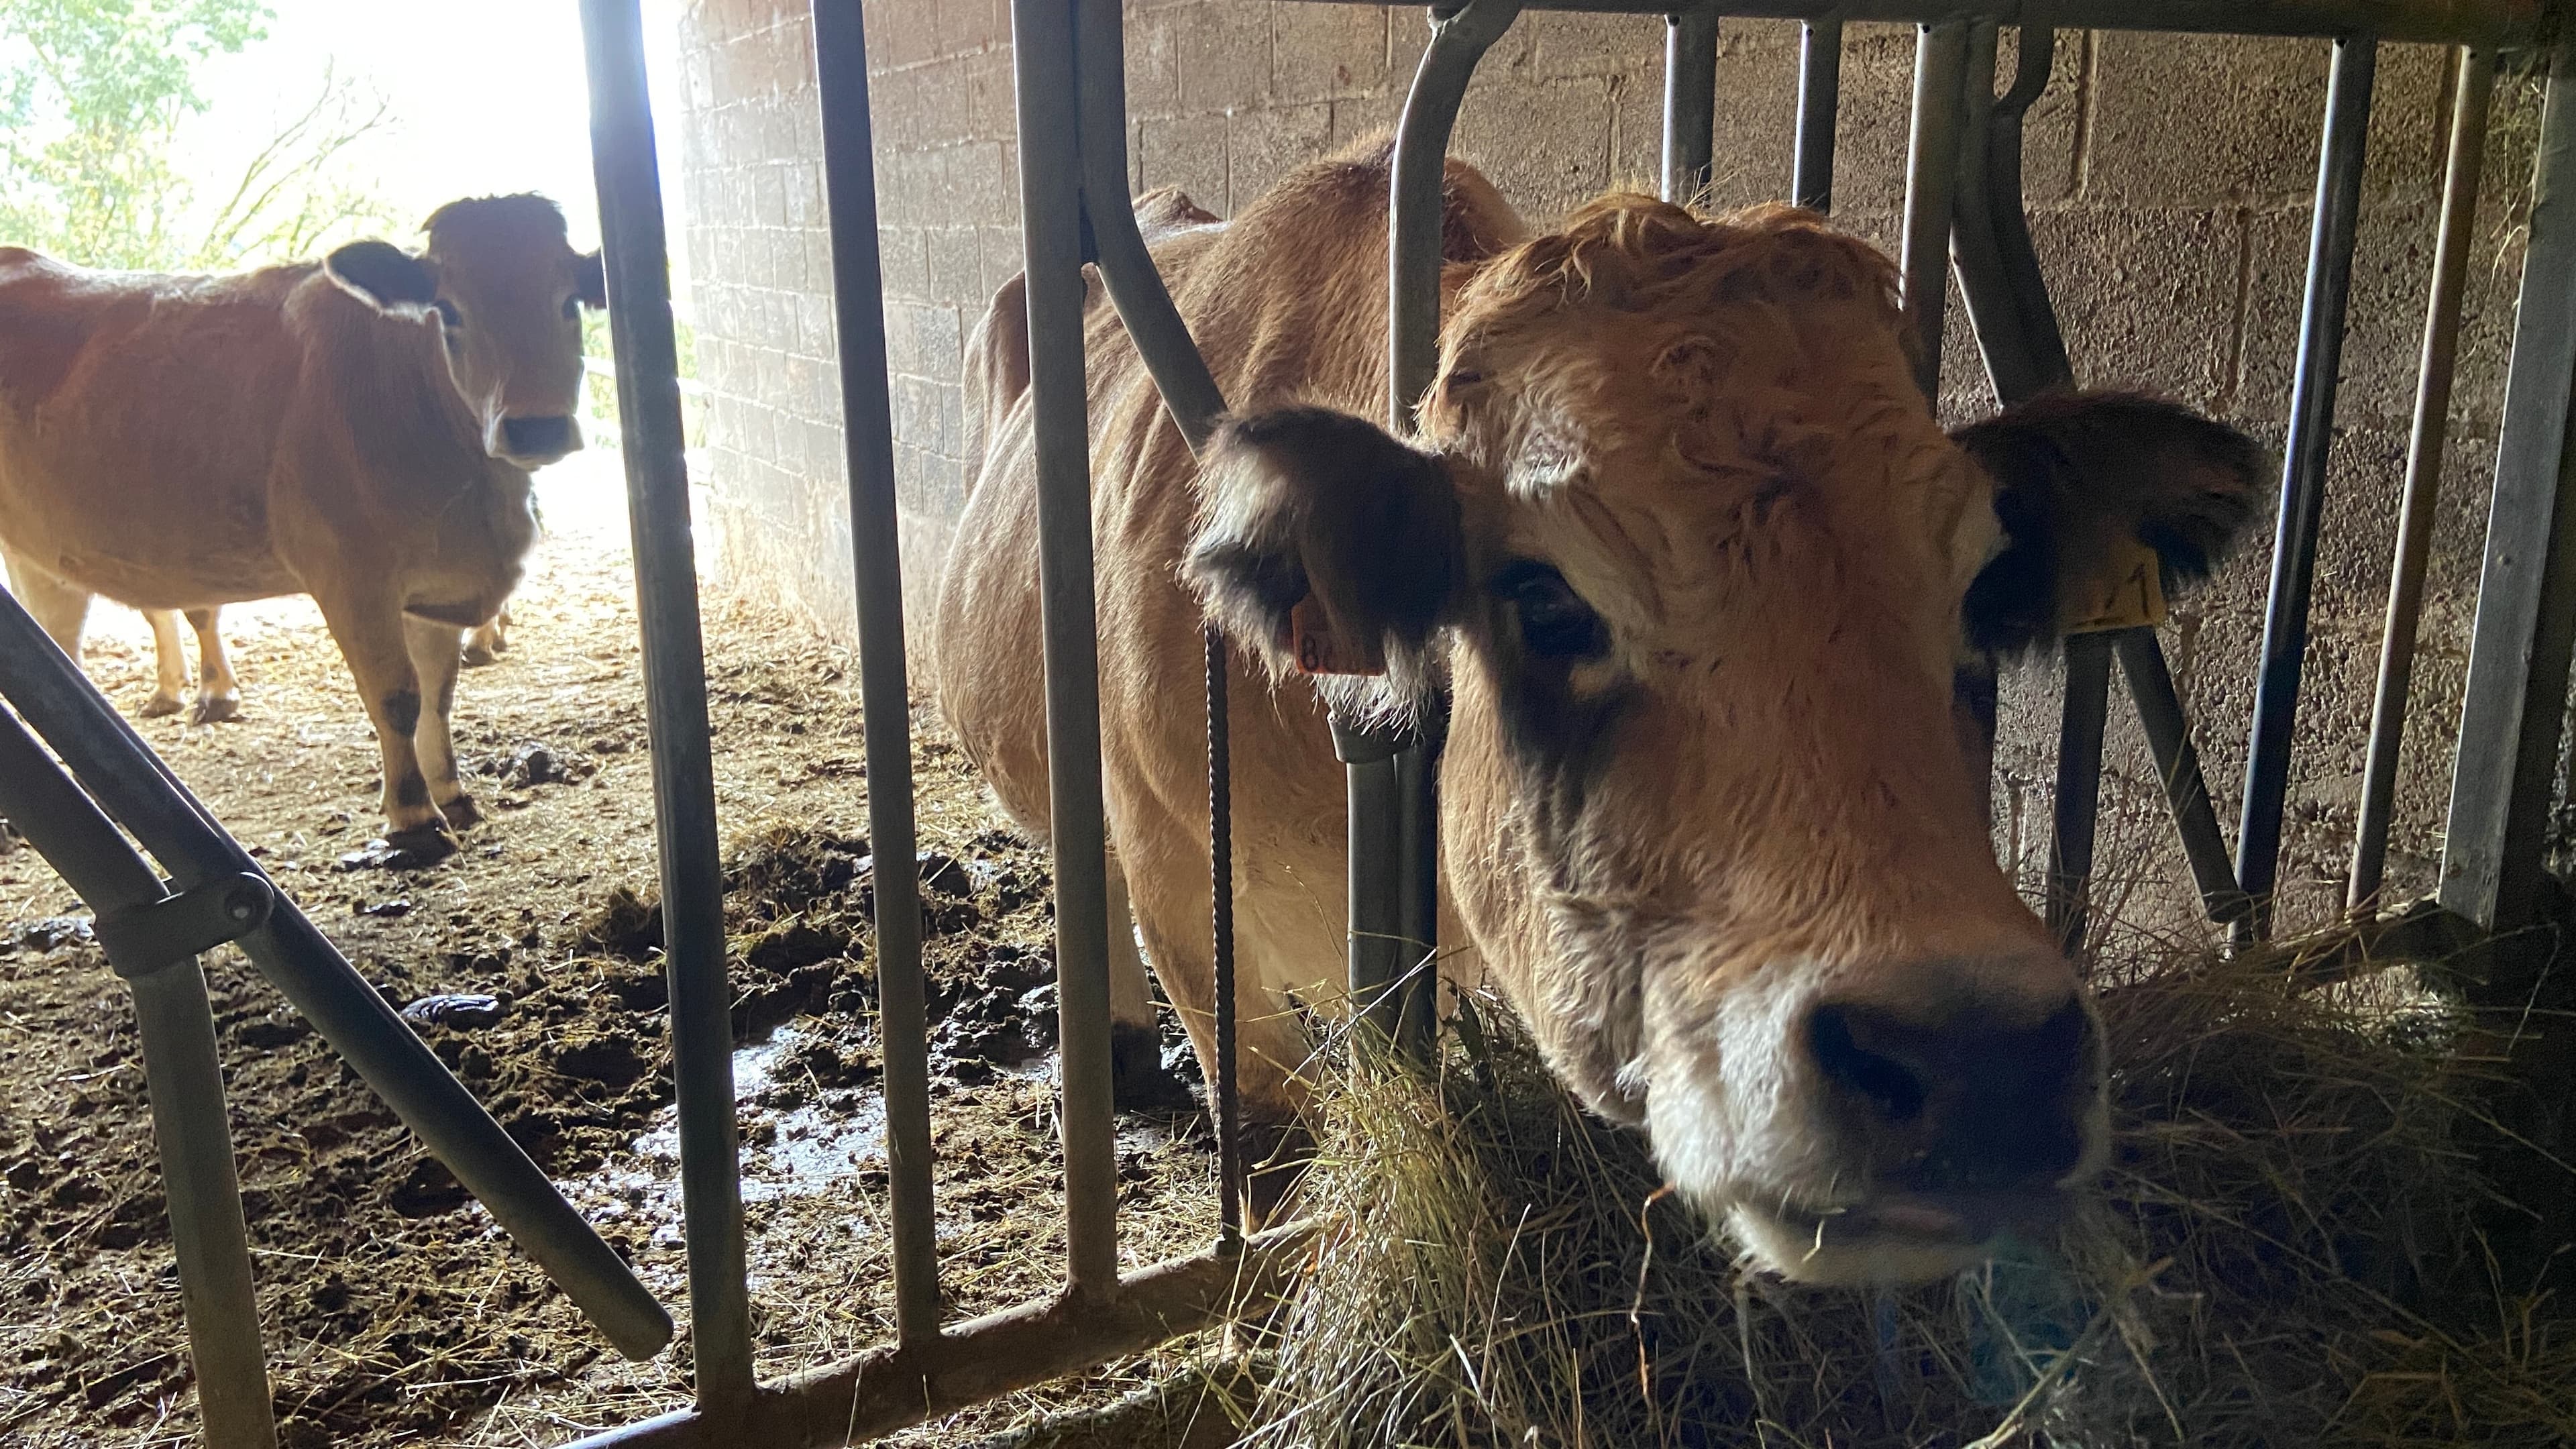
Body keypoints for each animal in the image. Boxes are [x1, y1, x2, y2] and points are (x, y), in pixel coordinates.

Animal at [0, 194, 600, 860]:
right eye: (448, 311)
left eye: (571, 300)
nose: (535, 427)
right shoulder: (351, 576)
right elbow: (397, 696)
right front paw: (415, 817)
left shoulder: (438, 584)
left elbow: (438, 694)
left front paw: (452, 793)